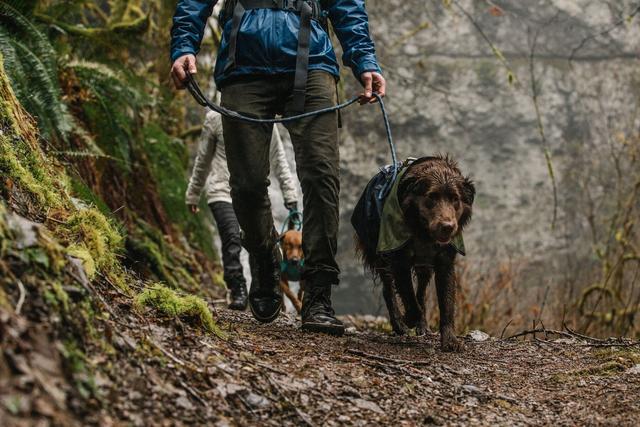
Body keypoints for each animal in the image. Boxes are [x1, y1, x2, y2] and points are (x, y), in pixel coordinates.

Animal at [356, 155, 476, 352]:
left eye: (455, 199)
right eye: (431, 197)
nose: (447, 227)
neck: (423, 232)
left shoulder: (445, 262)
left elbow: (446, 303)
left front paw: (450, 339)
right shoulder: (399, 260)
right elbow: (409, 299)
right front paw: (408, 318)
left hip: (424, 266)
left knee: (420, 292)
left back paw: (422, 325)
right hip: (379, 253)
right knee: (388, 289)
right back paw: (399, 324)